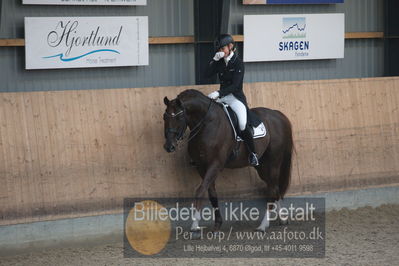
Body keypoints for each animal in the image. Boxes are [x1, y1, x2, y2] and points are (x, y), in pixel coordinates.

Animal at [162, 89, 294, 233]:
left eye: (179, 117)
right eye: (164, 117)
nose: (169, 147)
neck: (207, 124)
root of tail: (277, 114)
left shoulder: (215, 165)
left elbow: (200, 191)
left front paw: (195, 225)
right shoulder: (201, 167)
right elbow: (212, 194)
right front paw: (217, 225)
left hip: (273, 162)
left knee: (273, 189)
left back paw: (263, 225)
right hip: (262, 166)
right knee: (274, 187)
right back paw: (282, 219)